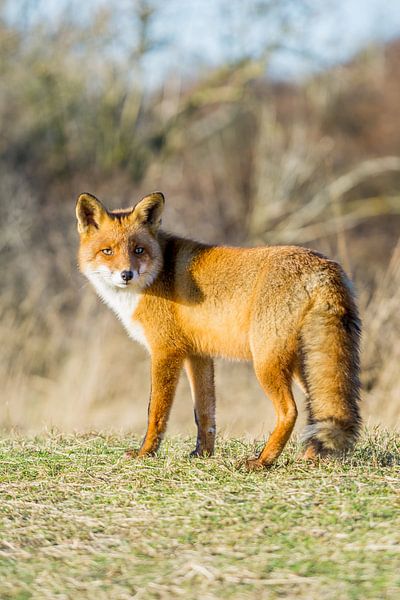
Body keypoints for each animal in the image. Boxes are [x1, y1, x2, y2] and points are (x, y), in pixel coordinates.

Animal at [76, 192, 360, 468]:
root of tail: (324, 265)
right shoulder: (198, 355)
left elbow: (155, 412)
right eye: (107, 251)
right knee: (324, 410)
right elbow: (204, 413)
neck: (157, 275)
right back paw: (310, 458)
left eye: (138, 250)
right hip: (304, 366)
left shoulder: (165, 351)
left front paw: (146, 453)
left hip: (267, 363)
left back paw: (263, 461)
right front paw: (203, 454)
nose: (127, 274)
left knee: (290, 411)